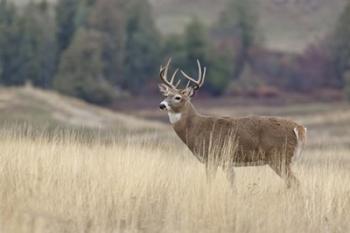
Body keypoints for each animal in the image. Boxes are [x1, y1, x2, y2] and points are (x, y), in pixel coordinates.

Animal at [159, 58, 306, 189]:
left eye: (178, 97)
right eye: (165, 95)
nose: (162, 105)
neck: (196, 128)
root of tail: (299, 128)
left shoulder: (215, 156)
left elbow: (217, 183)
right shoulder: (222, 160)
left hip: (279, 156)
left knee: (295, 183)